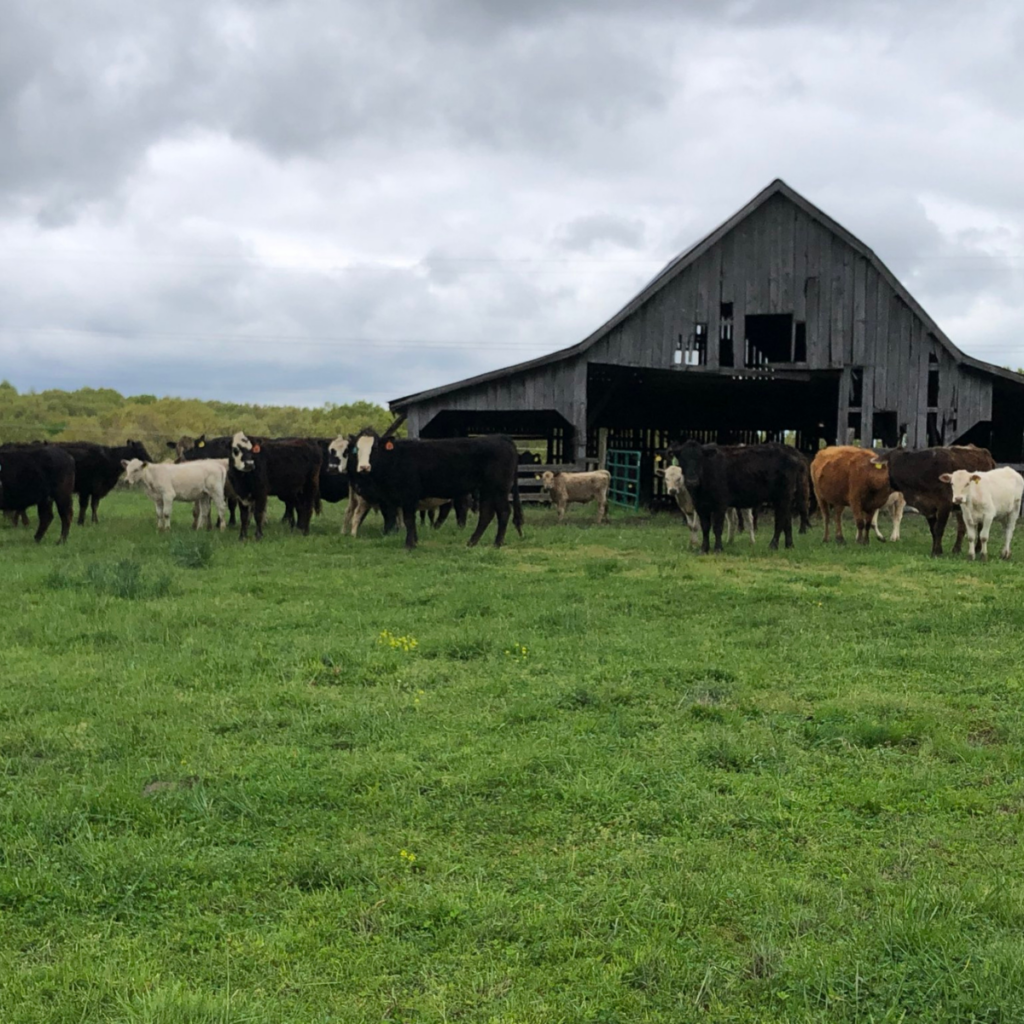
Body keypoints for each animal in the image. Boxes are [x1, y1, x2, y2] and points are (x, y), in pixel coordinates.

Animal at [344, 429, 523, 549]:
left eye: (374, 448)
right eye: (356, 450)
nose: (364, 467)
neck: (395, 459)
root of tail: (501, 437)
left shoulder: (408, 495)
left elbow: (409, 520)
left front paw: (409, 545)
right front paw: (414, 541)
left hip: (498, 489)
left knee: (503, 512)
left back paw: (497, 543)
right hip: (486, 490)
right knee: (486, 514)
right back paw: (472, 542)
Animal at [670, 441, 805, 553]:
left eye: (700, 459)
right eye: (682, 460)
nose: (692, 481)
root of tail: (789, 449)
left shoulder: (720, 504)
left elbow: (717, 527)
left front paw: (718, 548)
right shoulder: (700, 505)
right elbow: (705, 527)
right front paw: (704, 548)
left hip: (783, 496)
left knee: (780, 519)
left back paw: (773, 545)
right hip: (783, 498)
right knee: (787, 520)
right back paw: (789, 545)